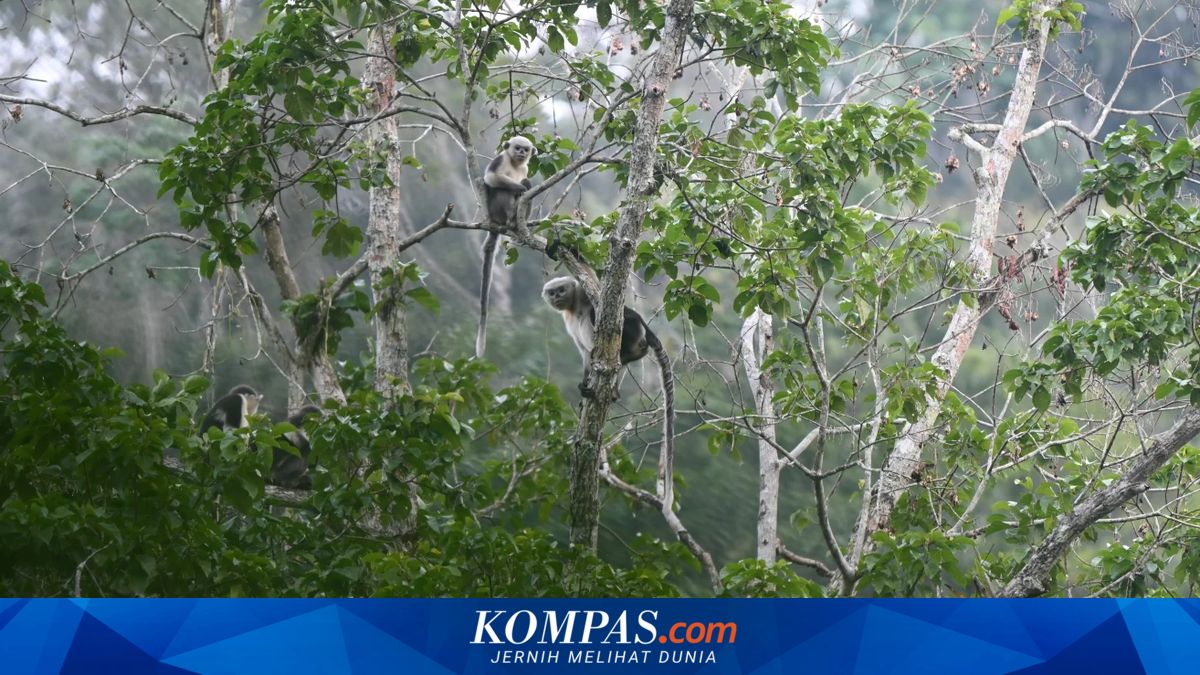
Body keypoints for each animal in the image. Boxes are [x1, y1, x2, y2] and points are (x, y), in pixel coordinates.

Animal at [477, 136, 536, 359]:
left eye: (525, 150)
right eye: (517, 148)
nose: (521, 152)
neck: (516, 164)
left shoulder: (526, 168)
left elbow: (527, 179)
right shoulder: (500, 159)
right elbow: (492, 177)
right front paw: (521, 188)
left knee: (526, 184)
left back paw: (519, 225)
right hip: (496, 211)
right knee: (506, 189)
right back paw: (511, 219)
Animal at [541, 276, 676, 500]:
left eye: (561, 290)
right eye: (552, 292)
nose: (556, 296)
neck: (573, 307)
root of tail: (646, 334)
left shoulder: (586, 294)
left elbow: (617, 309)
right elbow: (584, 354)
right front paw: (583, 387)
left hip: (635, 332)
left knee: (609, 318)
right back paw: (613, 390)